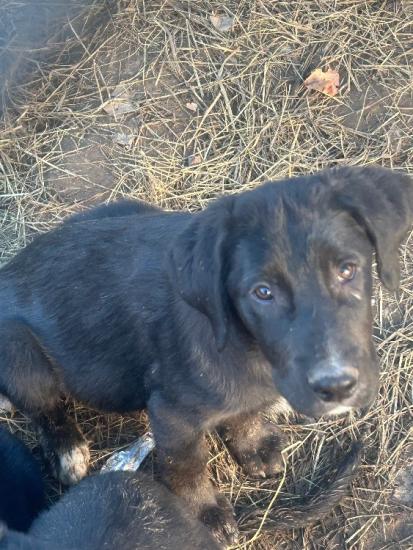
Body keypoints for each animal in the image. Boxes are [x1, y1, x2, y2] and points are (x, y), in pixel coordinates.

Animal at [0, 166, 410, 544]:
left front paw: (253, 445)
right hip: (20, 353)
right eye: (262, 292)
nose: (337, 387)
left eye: (348, 269)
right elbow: (187, 465)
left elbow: (244, 414)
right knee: (44, 409)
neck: (249, 347)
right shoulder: (172, 413)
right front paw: (206, 514)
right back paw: (67, 450)